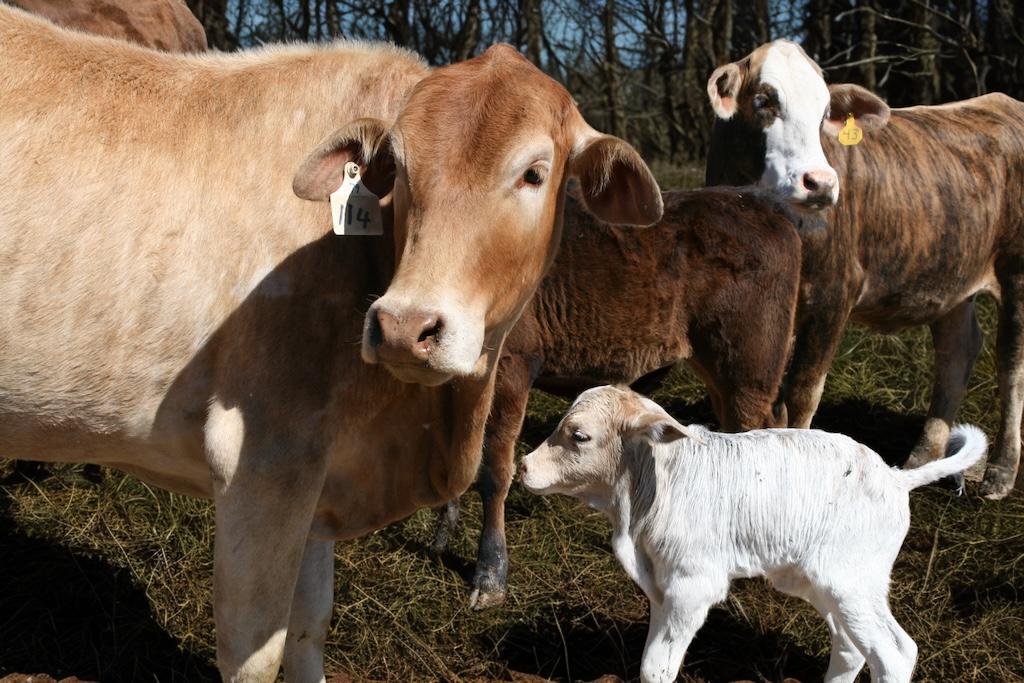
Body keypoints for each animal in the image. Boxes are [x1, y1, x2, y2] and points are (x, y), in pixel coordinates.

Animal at [0, 7, 662, 681]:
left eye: (534, 173)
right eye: (400, 168)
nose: (404, 328)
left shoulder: (319, 484)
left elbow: (309, 626)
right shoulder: (262, 466)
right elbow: (254, 654)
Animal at [433, 186, 802, 608]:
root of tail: (757, 204)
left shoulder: (511, 364)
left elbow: (494, 470)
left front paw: (490, 575)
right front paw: (442, 536)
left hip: (748, 367)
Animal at [520, 385, 986, 683]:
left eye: (579, 435)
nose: (523, 466)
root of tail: (895, 477)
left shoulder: (694, 583)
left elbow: (657, 668)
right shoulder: (661, 585)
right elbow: (652, 662)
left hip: (852, 581)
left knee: (894, 654)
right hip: (820, 582)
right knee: (850, 647)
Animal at [705, 39, 1024, 500]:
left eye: (824, 113)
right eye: (764, 100)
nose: (820, 183)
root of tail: (1003, 101)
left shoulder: (834, 293)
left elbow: (802, 393)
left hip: (1016, 267)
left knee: (1010, 364)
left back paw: (1001, 471)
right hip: (950, 268)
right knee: (957, 350)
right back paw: (922, 459)